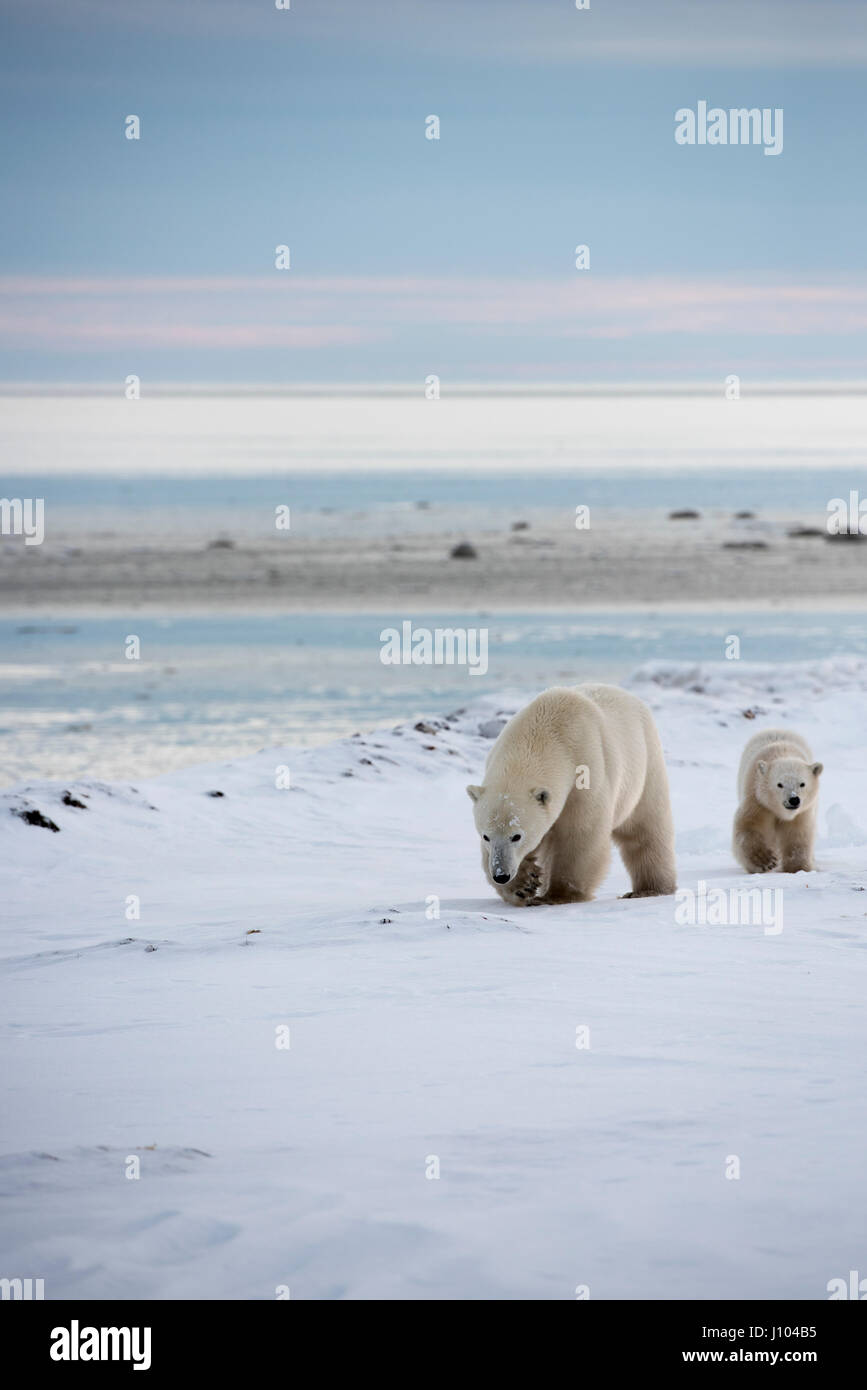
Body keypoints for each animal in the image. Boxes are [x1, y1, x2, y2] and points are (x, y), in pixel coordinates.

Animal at [466, 684, 677, 906]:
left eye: (517, 836)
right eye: (486, 836)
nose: (501, 874)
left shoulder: (586, 772)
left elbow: (580, 834)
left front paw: (558, 895)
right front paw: (523, 885)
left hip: (645, 766)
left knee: (646, 828)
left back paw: (649, 889)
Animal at [732, 728, 822, 874]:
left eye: (802, 784)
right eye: (779, 784)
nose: (794, 800)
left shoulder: (802, 812)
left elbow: (797, 834)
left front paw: (797, 868)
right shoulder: (757, 800)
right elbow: (749, 826)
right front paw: (765, 860)